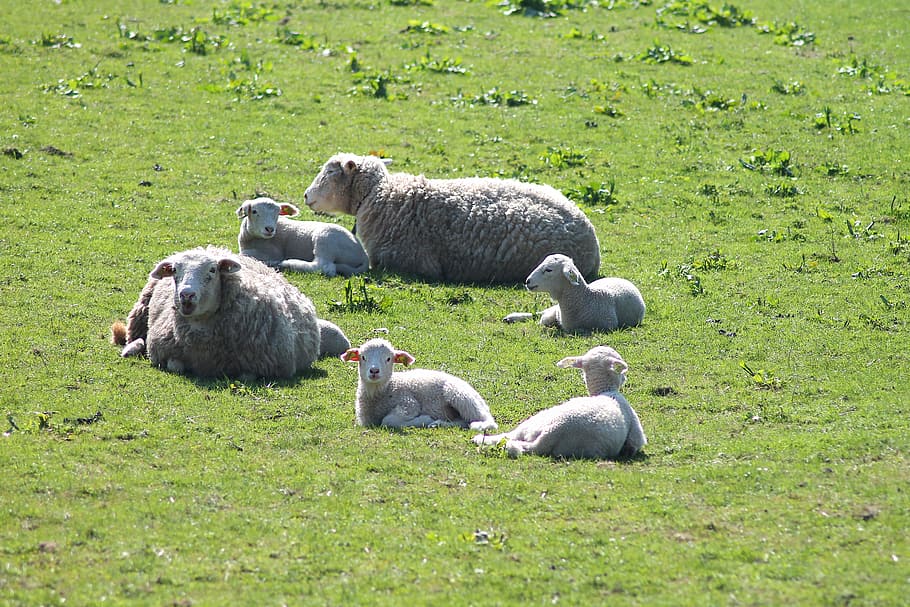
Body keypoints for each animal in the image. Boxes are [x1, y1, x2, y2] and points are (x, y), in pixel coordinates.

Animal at [111, 246, 329, 380]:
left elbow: (247, 376)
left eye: (212, 270)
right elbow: (175, 365)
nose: (186, 295)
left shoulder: (264, 365)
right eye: (174, 271)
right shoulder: (163, 351)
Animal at [236, 197, 368, 277]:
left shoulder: (273, 252)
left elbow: (244, 254)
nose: (269, 229)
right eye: (254, 211)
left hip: (326, 240)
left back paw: (287, 263)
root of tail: (363, 255)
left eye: (278, 213)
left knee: (324, 267)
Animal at [340, 338, 498, 430]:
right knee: (463, 421)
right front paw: (429, 420)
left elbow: (388, 420)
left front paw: (424, 419)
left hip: (460, 395)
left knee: (488, 421)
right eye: (363, 357)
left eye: (389, 359)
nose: (374, 371)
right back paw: (438, 423)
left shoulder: (408, 403)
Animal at [472, 346, 646, 459]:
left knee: (509, 436)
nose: (625, 377)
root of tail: (551, 433)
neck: (605, 390)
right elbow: (635, 444)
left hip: (531, 424)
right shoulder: (636, 432)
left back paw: (481, 439)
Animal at [512, 253, 645, 334]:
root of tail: (623, 279)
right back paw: (512, 317)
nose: (527, 281)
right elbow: (543, 319)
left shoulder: (607, 326)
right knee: (541, 313)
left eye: (549, 270)